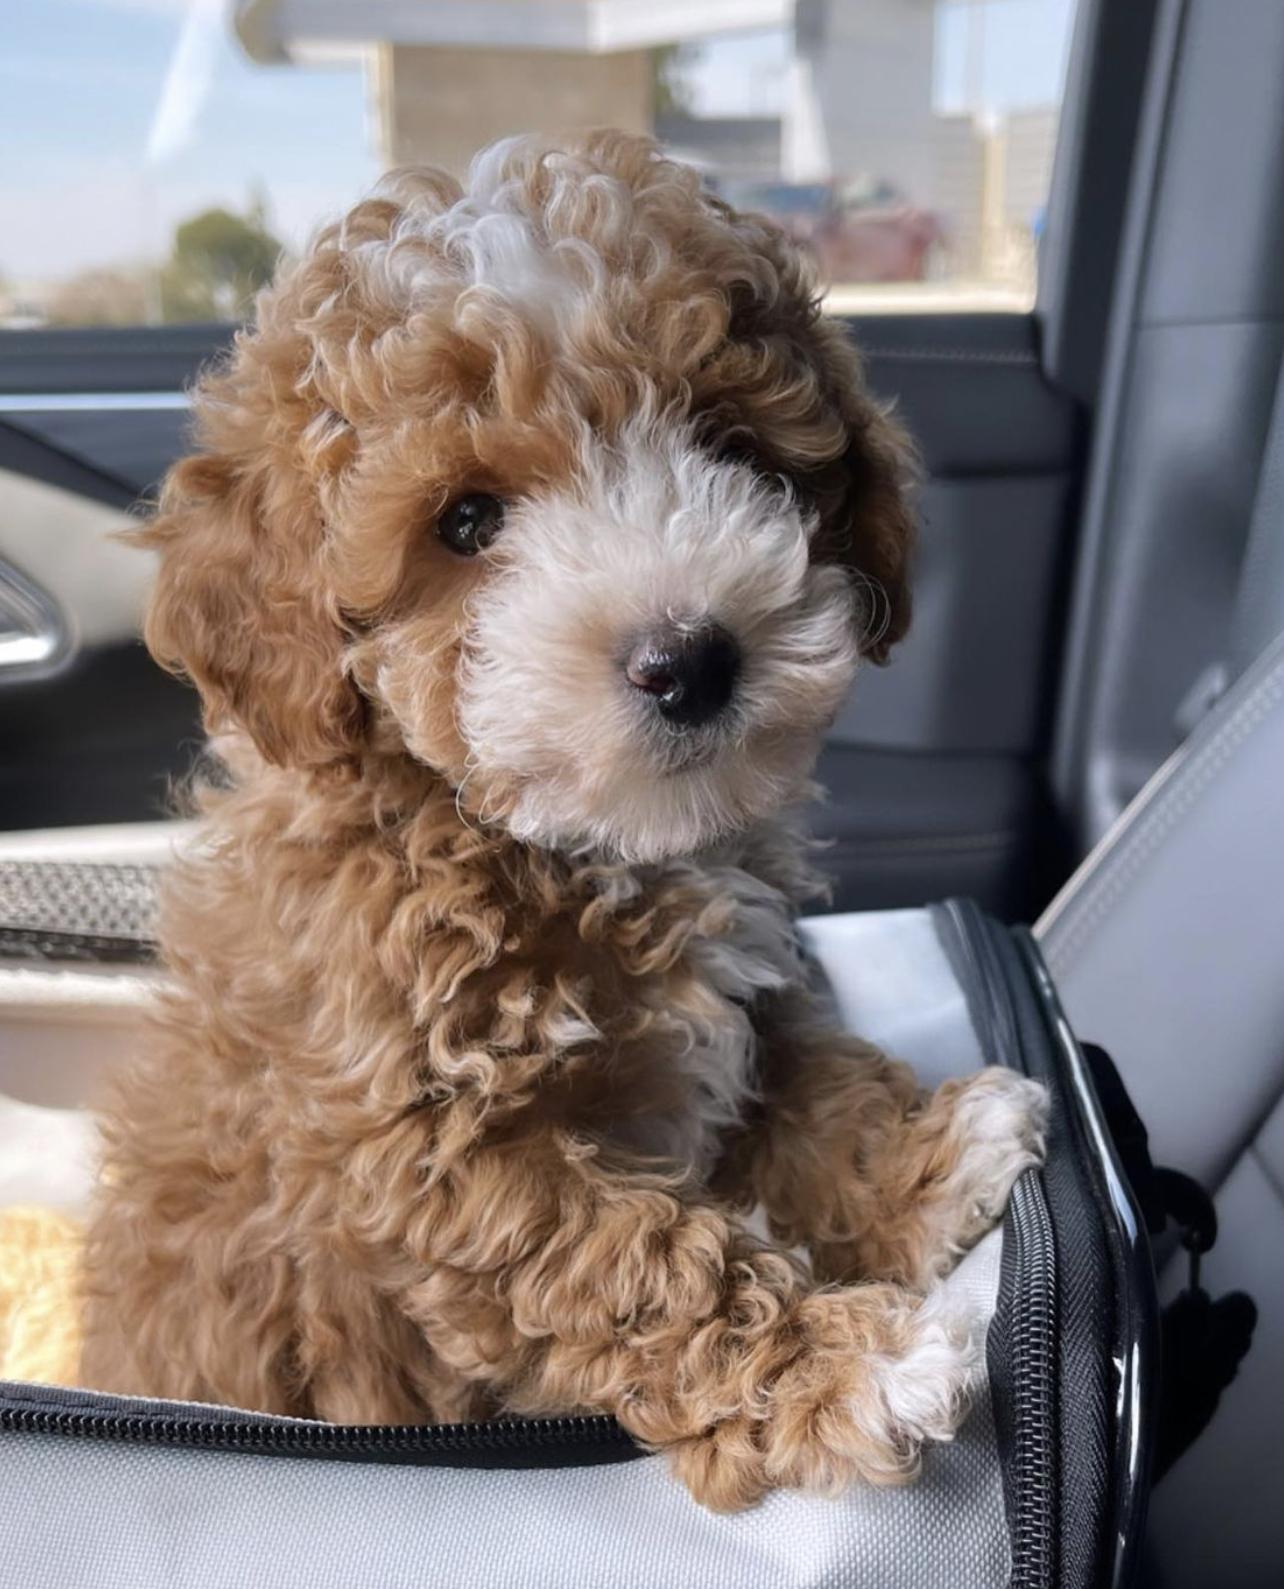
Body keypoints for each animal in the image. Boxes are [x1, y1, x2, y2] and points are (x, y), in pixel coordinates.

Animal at [81, 131, 1047, 1511]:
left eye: (727, 445)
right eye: (467, 520)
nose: (688, 658)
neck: (558, 844)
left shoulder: (757, 994)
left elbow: (811, 1080)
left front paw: (929, 1151)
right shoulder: (441, 1159)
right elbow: (635, 1258)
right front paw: (845, 1366)